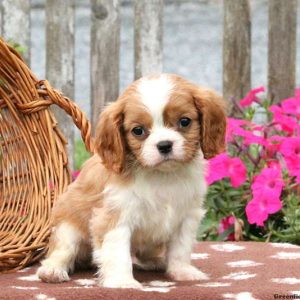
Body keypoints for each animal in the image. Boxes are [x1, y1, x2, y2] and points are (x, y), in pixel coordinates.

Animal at [37, 72, 225, 288]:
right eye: (138, 131)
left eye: (185, 121)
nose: (164, 145)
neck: (161, 175)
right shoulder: (115, 217)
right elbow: (119, 253)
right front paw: (122, 282)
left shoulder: (186, 217)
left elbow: (181, 248)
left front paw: (183, 271)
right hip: (68, 227)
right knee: (63, 251)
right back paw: (52, 270)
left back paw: (156, 261)